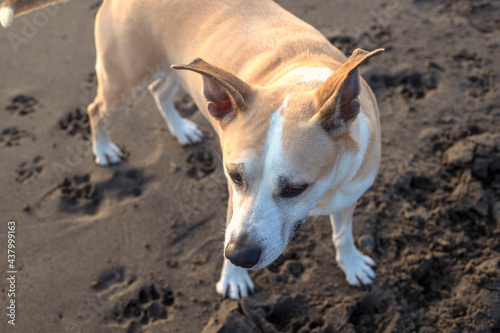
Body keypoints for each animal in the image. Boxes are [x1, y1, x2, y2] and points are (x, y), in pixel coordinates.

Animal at [1, 0, 382, 298]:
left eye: (295, 188)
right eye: (234, 176)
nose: (239, 256)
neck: (298, 82)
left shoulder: (348, 195)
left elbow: (343, 234)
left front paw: (351, 264)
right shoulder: (234, 201)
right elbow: (232, 224)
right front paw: (233, 279)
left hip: (178, 71)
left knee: (160, 92)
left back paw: (181, 129)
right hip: (122, 79)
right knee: (97, 110)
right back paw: (104, 149)